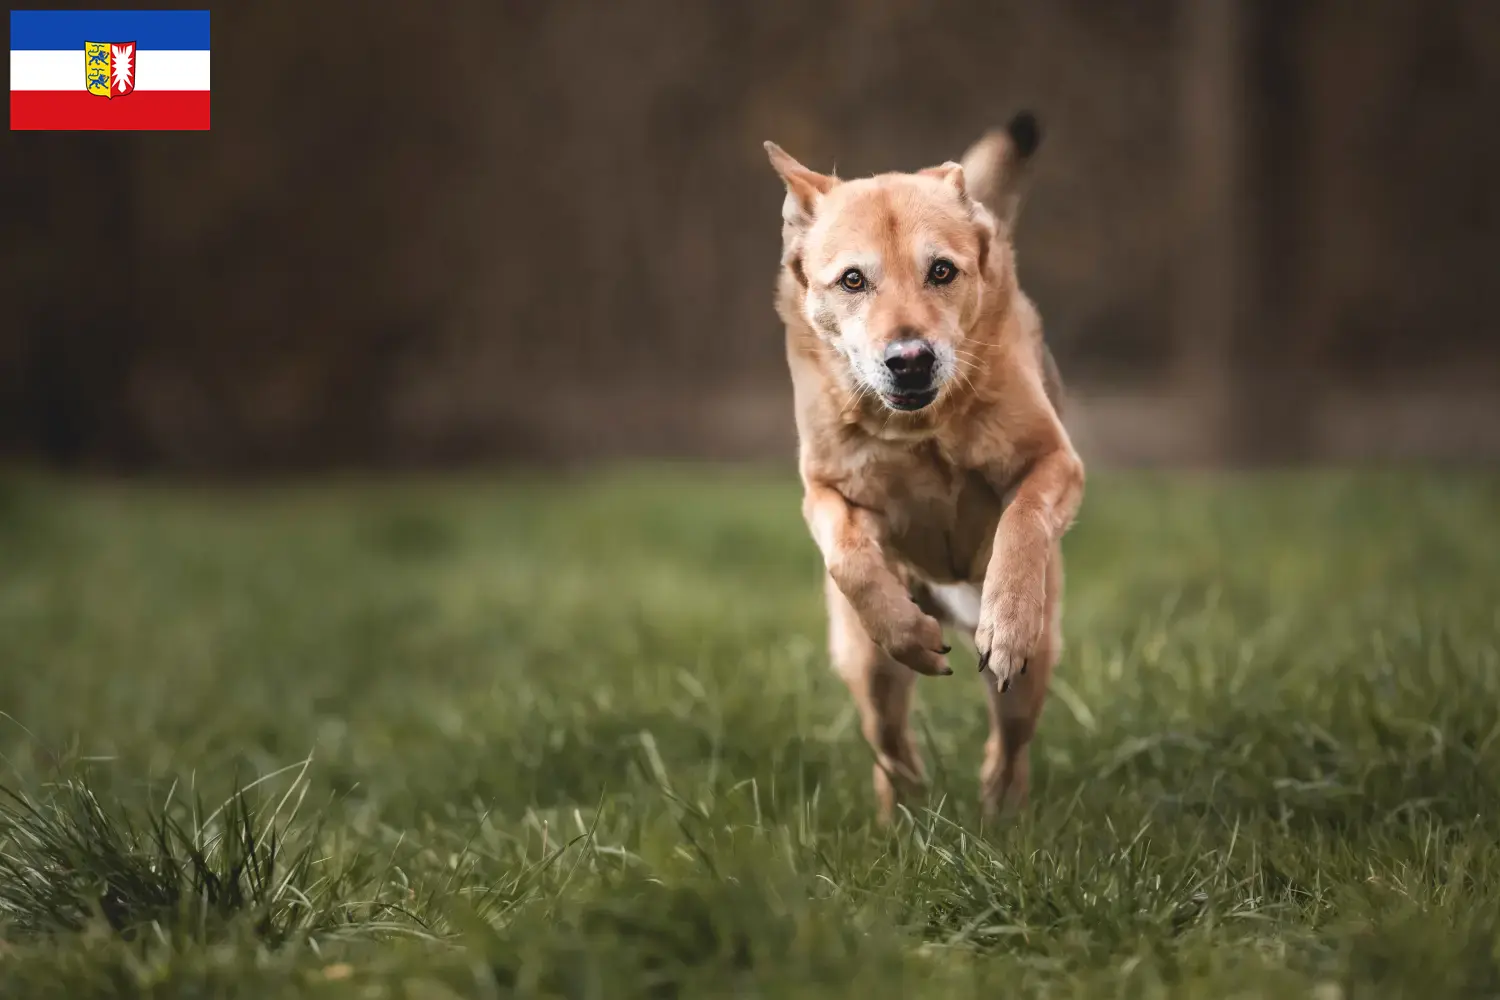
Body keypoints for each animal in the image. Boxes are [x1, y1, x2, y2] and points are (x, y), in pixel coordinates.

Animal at [768, 113, 1086, 827]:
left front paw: (1007, 618)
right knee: (891, 748)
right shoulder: (822, 492)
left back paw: (1002, 815)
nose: (910, 359)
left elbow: (1022, 520)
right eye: (852, 281)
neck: (919, 431)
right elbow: (849, 555)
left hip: (1034, 674)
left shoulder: (1055, 461)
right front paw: (907, 630)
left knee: (1009, 745)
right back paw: (904, 822)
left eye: (942, 270)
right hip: (868, 670)